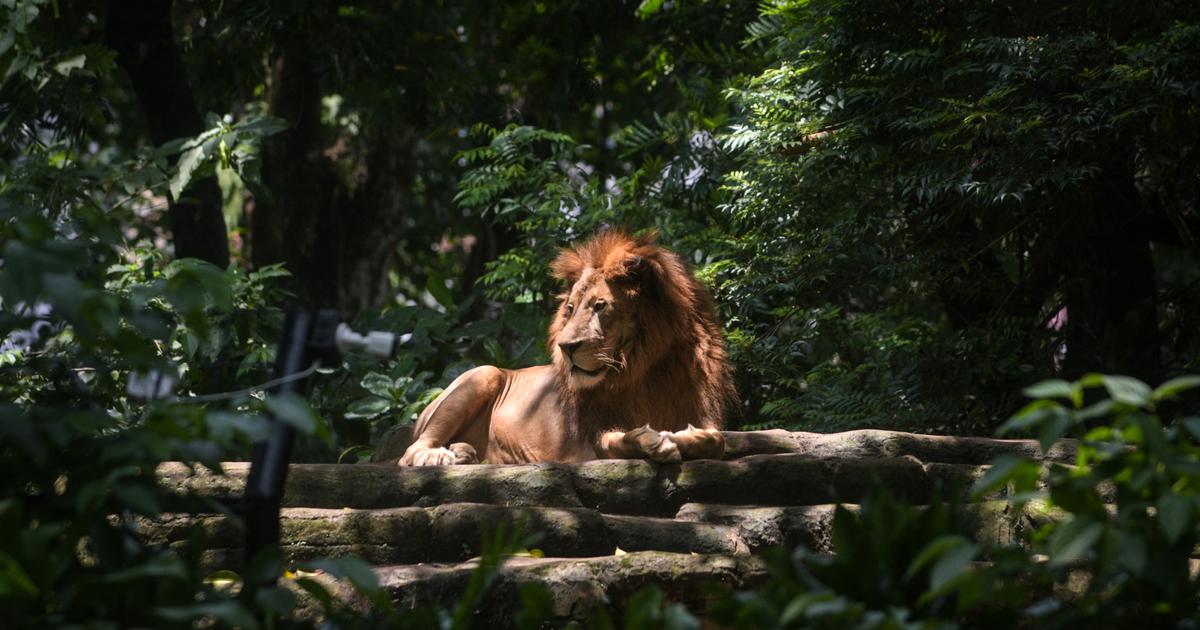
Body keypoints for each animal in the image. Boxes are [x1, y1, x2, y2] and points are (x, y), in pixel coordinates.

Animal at [398, 229, 739, 466]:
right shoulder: (590, 441)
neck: (647, 370)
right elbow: (616, 441)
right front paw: (651, 441)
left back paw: (463, 453)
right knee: (409, 452)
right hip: (484, 373)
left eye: (600, 306)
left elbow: (719, 440)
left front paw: (689, 437)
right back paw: (439, 456)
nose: (566, 347)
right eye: (571, 308)